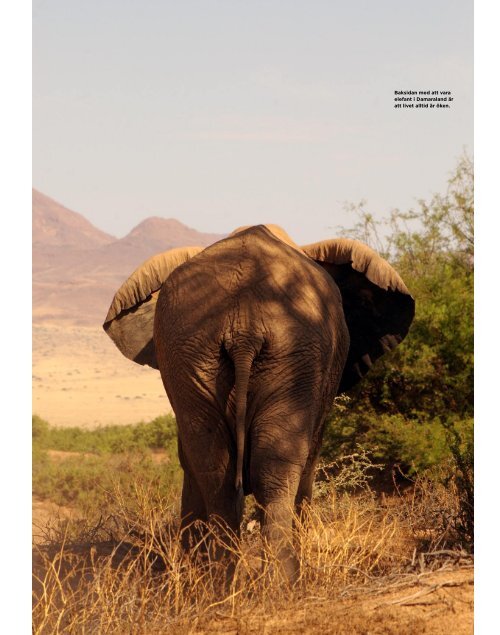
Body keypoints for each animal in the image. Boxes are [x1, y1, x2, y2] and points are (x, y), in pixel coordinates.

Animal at [102, 224, 414, 580]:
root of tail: (243, 326)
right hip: (291, 354)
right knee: (274, 465)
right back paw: (283, 581)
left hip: (195, 350)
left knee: (216, 465)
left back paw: (221, 580)